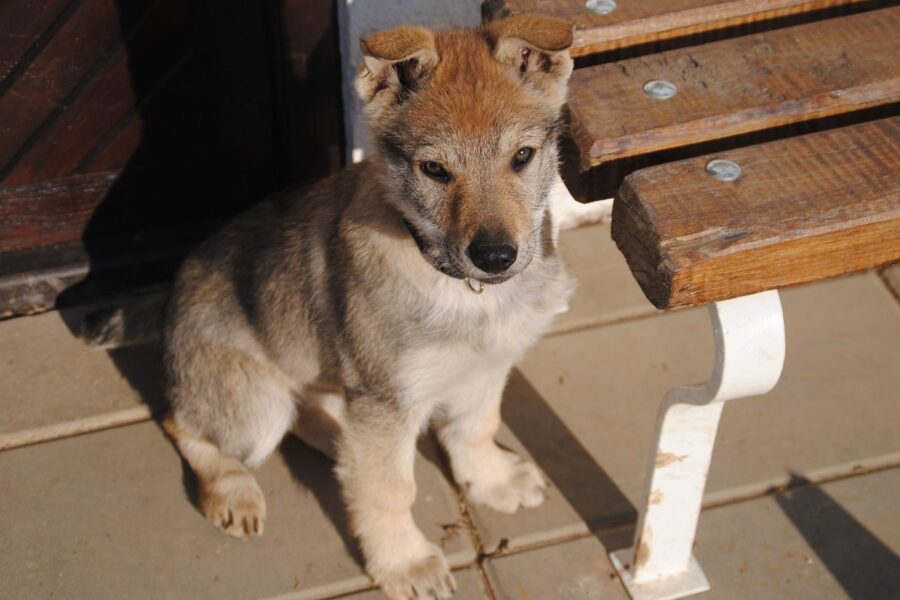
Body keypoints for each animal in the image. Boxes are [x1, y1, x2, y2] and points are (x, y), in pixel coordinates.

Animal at [161, 12, 572, 600]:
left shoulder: (486, 367)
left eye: (522, 156)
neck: (466, 293)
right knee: (183, 423)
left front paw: (492, 480)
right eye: (434, 170)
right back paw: (235, 492)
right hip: (256, 407)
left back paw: (336, 448)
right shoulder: (387, 400)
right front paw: (405, 564)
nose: (495, 256)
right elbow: (391, 491)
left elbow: (475, 426)